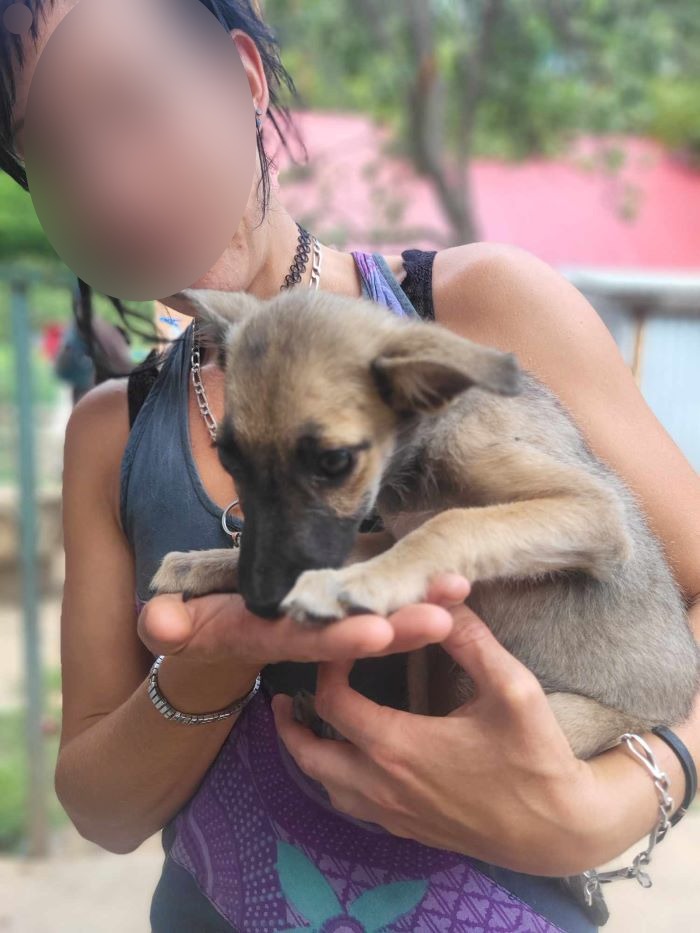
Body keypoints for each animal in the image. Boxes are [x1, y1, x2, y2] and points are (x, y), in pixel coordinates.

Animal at [153, 288, 700, 760]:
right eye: (229, 458)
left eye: (334, 461)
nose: (262, 601)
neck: (414, 464)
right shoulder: (383, 533)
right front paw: (202, 564)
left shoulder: (596, 509)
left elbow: (452, 524)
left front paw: (349, 585)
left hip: (567, 717)